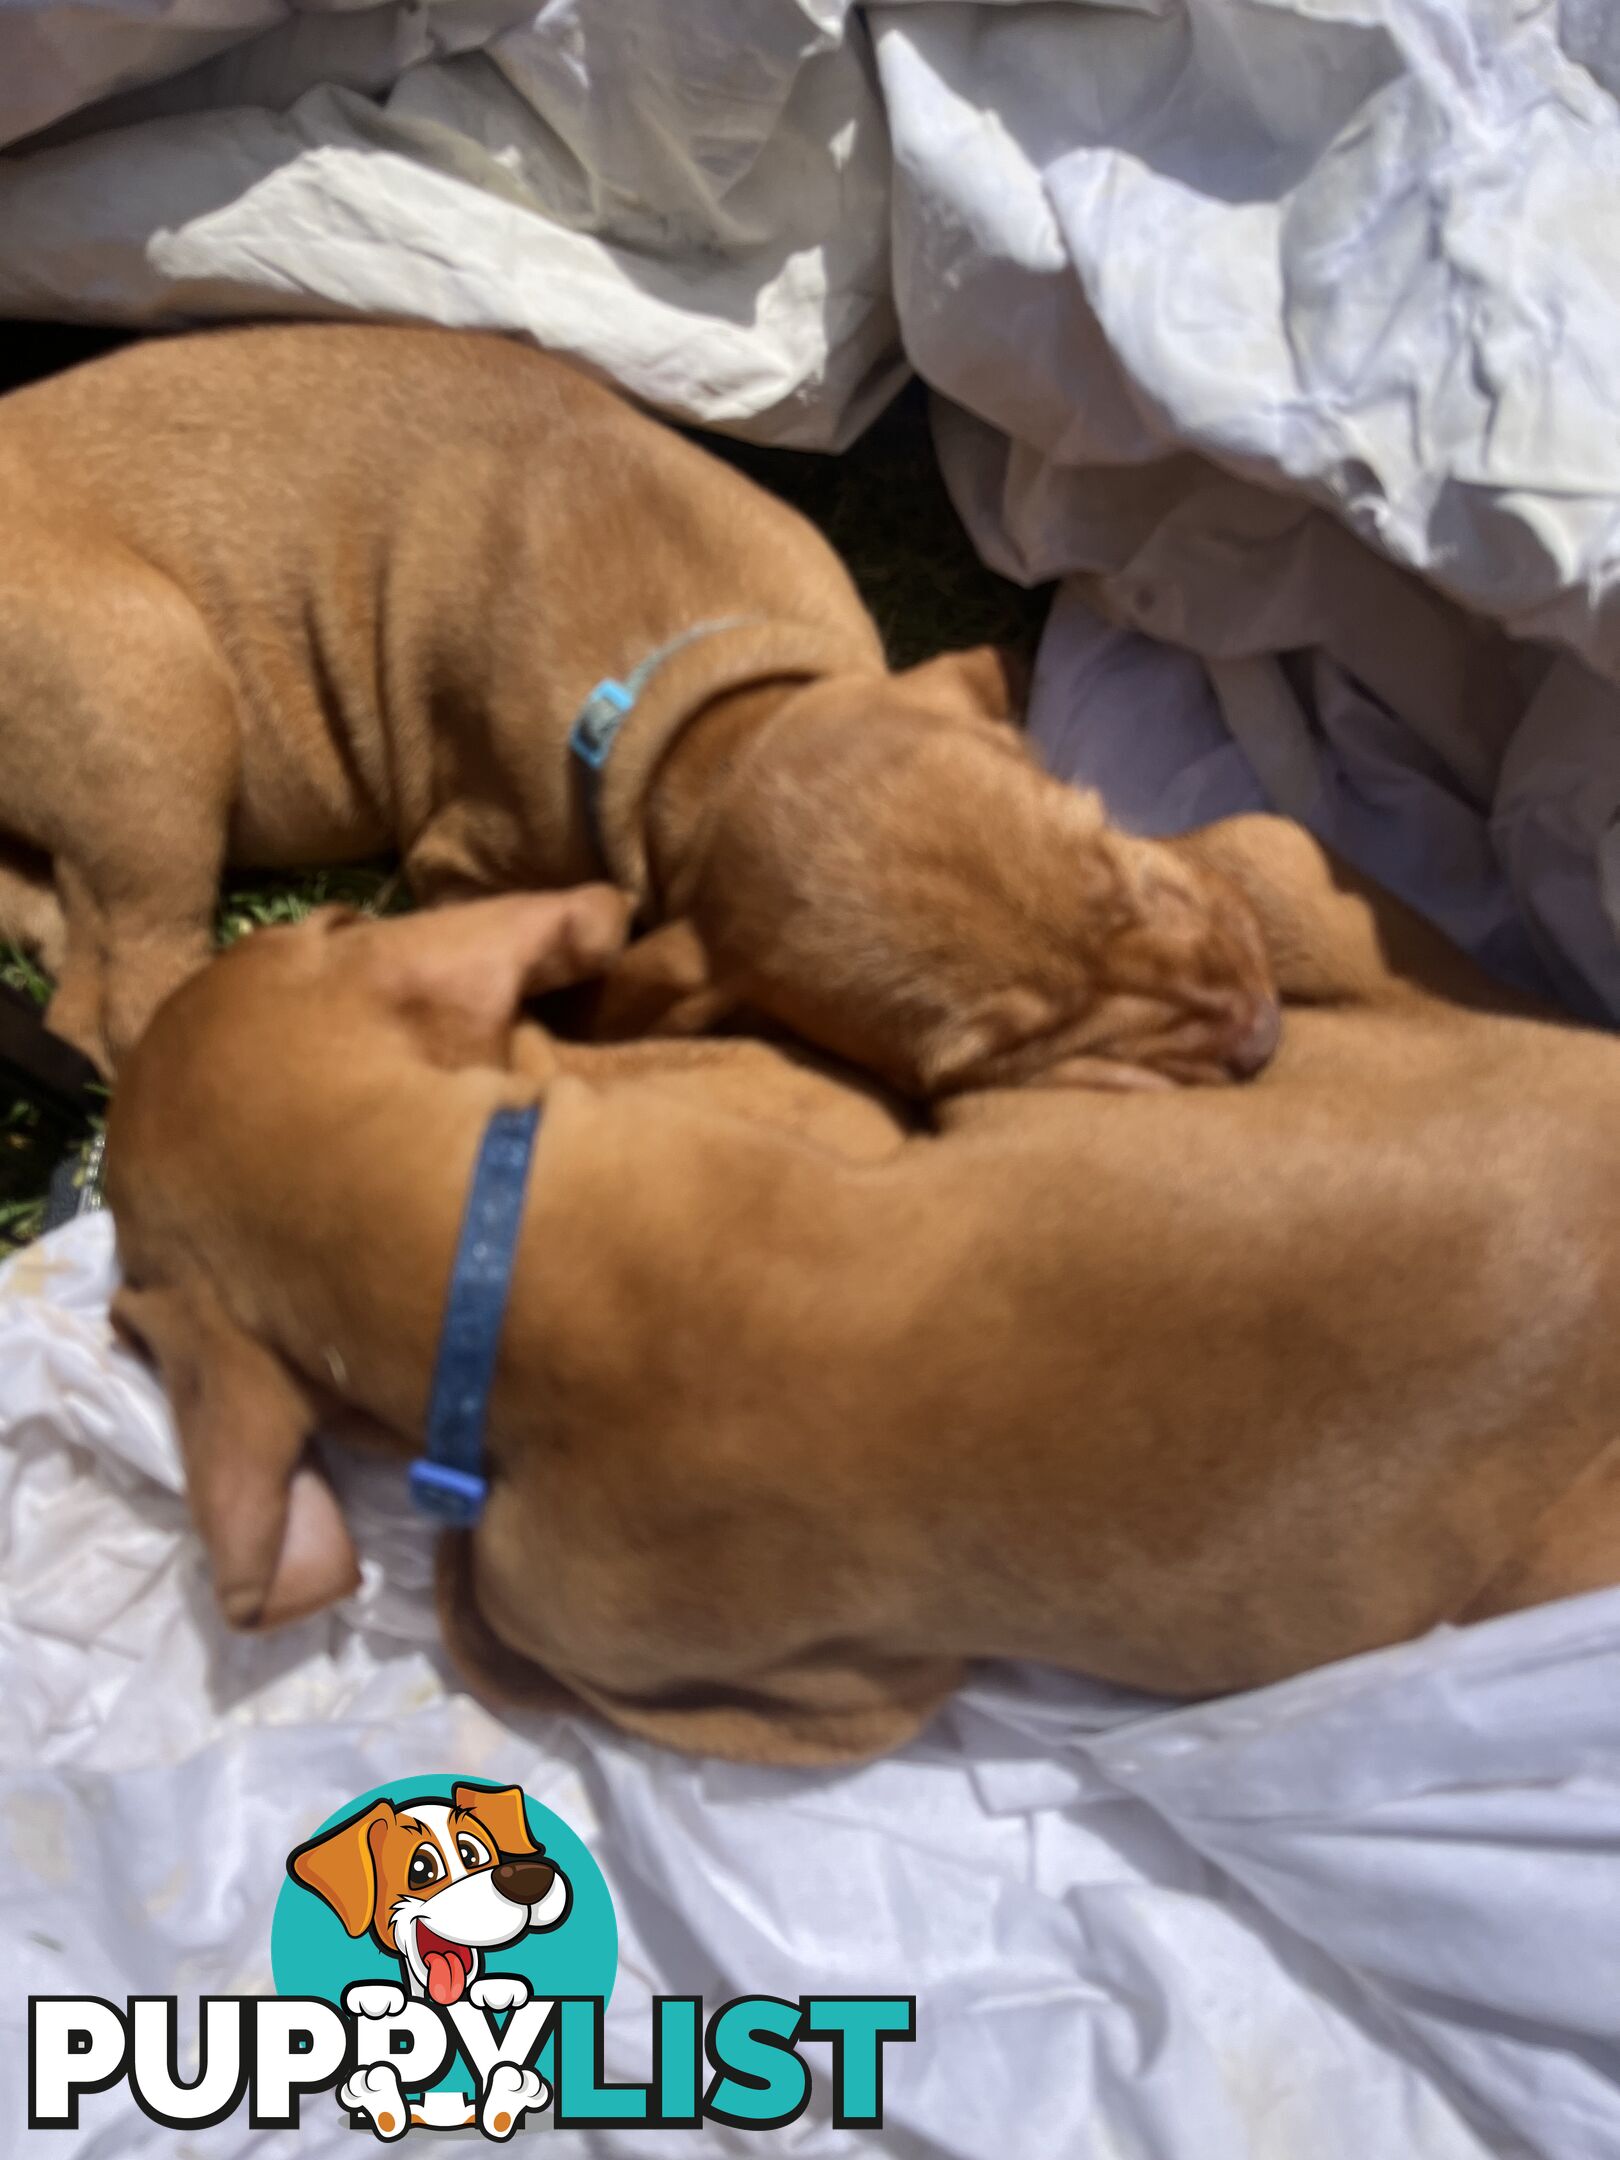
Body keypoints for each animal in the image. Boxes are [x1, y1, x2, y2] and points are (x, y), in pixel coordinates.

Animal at [0, 315, 1278, 1097]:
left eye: (1115, 853)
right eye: (980, 1058)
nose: (1263, 1039)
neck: (700, 728)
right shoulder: (465, 857)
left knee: (65, 954)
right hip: (155, 699)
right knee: (123, 994)